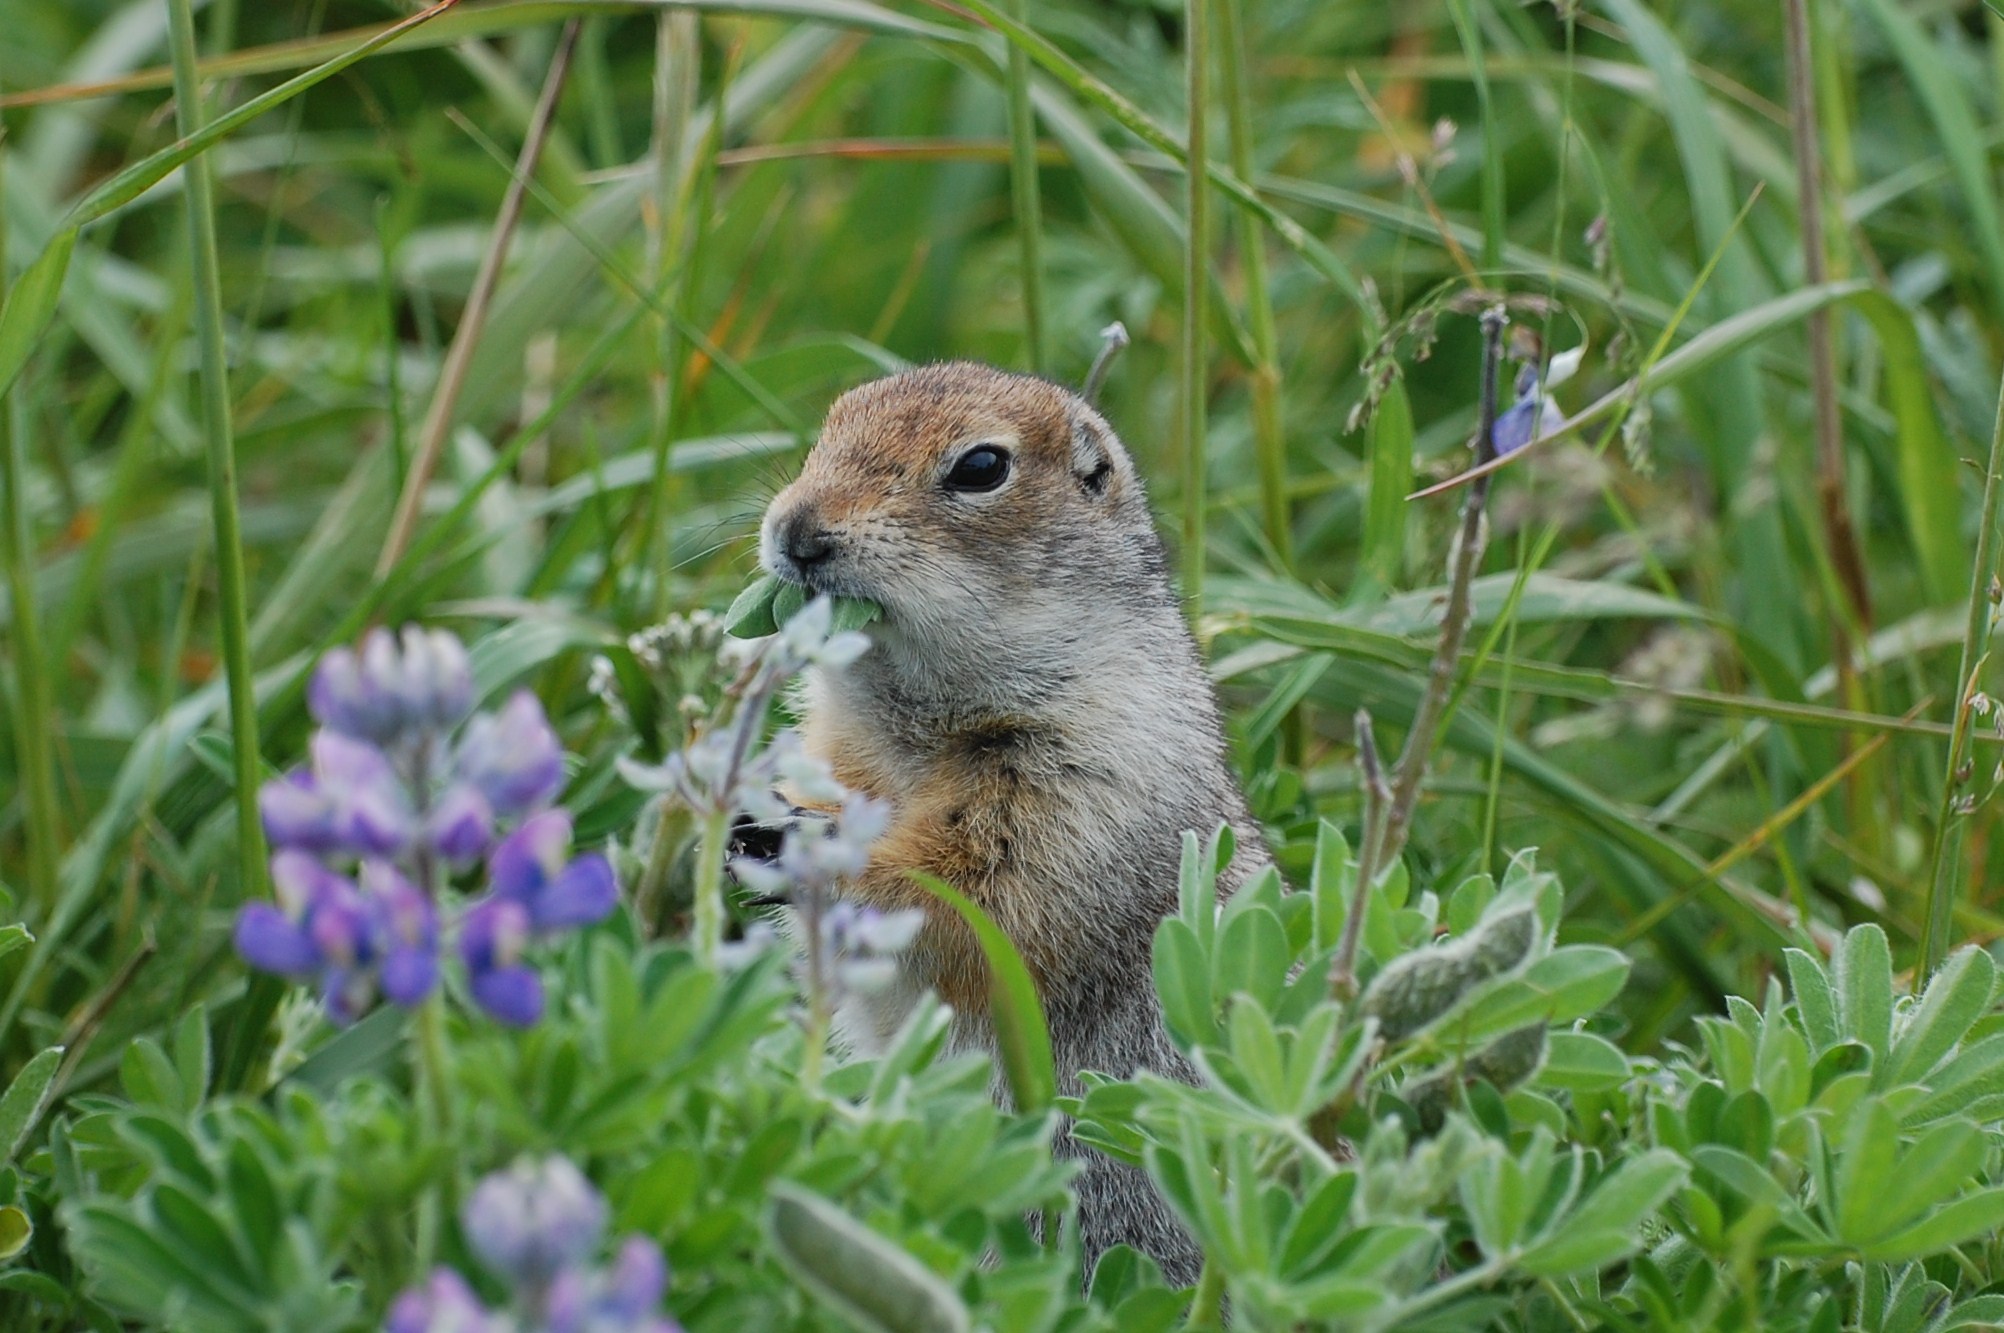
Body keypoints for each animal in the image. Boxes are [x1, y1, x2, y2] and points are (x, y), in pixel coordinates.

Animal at [753, 358, 1266, 1282]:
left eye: (982, 466)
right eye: (834, 419)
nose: (796, 531)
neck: (917, 726)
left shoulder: (1083, 781)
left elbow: (985, 903)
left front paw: (805, 850)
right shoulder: (842, 751)